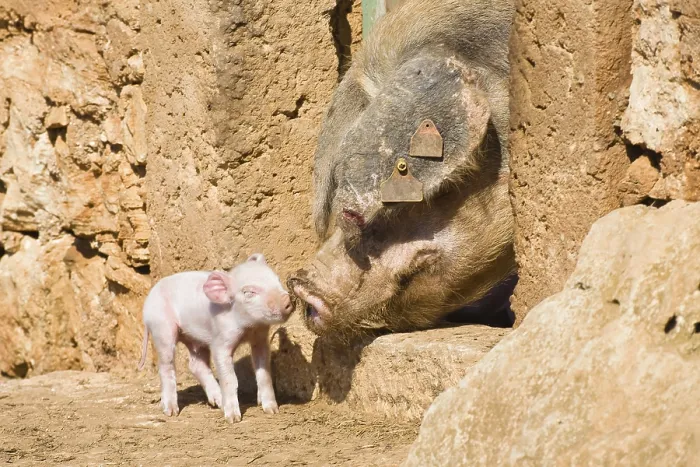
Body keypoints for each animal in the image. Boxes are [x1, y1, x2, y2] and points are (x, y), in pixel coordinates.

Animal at [137, 254, 294, 423]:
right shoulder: (220, 341)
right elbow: (230, 378)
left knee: (196, 365)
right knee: (166, 366)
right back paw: (171, 412)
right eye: (249, 292)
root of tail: (147, 306)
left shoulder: (260, 339)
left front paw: (272, 410)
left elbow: (264, 373)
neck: (248, 328)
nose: (287, 300)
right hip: (162, 329)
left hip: (195, 340)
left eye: (277, 280)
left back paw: (218, 402)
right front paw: (233, 419)